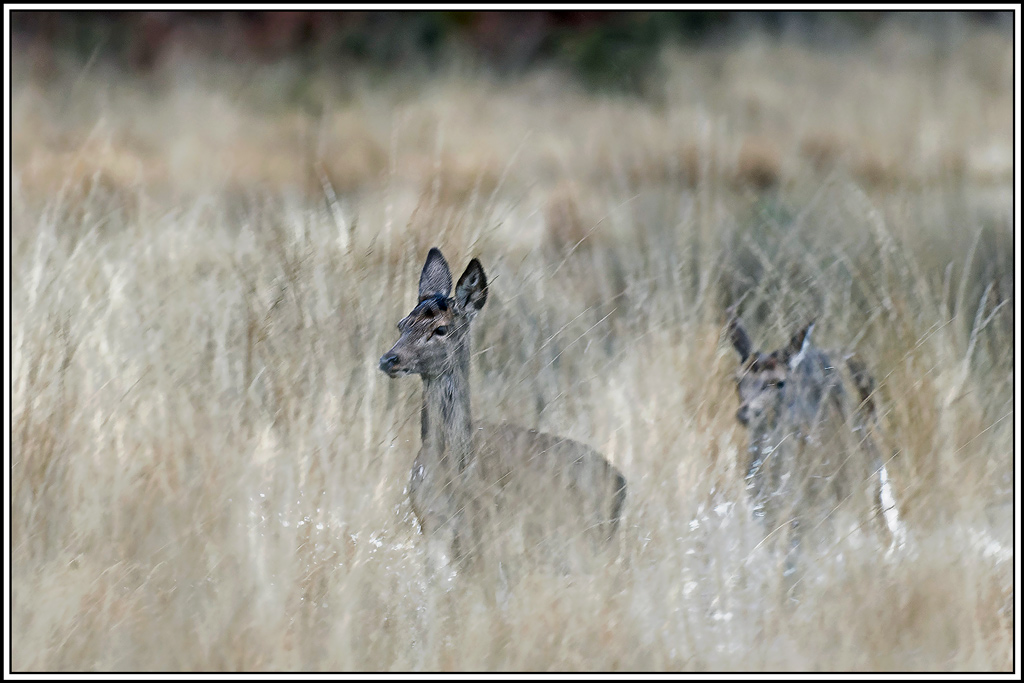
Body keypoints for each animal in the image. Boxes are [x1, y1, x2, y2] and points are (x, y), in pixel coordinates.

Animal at [379, 248, 627, 583]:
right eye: (402, 324)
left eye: (440, 329)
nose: (389, 359)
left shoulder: (486, 531)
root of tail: (621, 483)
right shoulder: (431, 525)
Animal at [725, 314, 906, 584]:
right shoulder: (764, 511)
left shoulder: (826, 503)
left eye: (778, 382)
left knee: (881, 522)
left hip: (866, 468)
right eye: (738, 380)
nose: (746, 412)